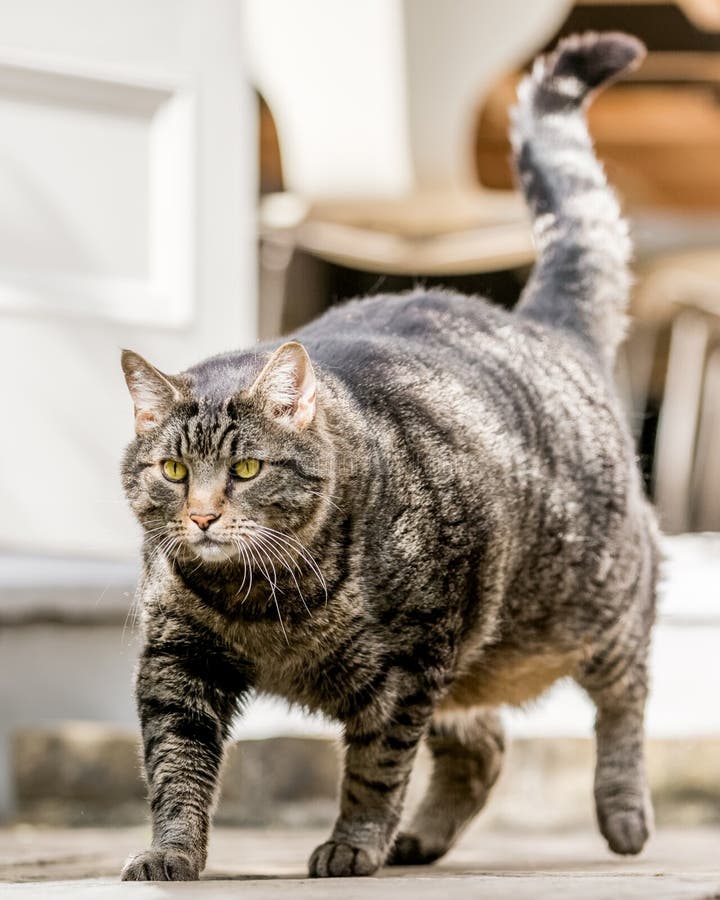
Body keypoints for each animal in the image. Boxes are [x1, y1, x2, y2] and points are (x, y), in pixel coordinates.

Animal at [119, 33, 660, 880]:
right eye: (174, 472)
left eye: (246, 470)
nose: (202, 517)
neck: (265, 607)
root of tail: (542, 319)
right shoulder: (178, 659)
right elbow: (175, 765)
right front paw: (171, 852)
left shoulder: (409, 665)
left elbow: (376, 766)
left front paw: (353, 842)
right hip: (471, 666)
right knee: (485, 744)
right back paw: (421, 838)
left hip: (592, 604)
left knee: (624, 698)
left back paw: (624, 812)